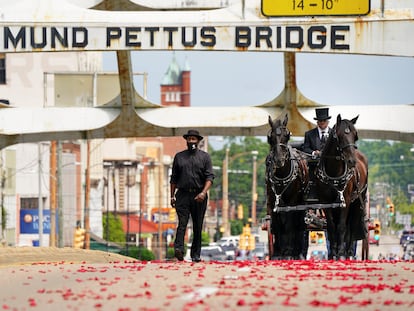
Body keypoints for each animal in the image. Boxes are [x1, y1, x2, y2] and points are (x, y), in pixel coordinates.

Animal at [266, 116, 308, 260]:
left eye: (287, 135)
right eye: (270, 137)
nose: (279, 160)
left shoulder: (292, 201)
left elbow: (289, 224)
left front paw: (288, 252)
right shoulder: (272, 199)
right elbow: (276, 223)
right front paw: (277, 252)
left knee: (297, 223)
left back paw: (296, 251)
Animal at [316, 114, 368, 260]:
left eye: (355, 135)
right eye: (339, 135)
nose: (352, 161)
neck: (333, 172)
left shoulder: (346, 200)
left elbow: (341, 227)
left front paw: (340, 253)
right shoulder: (326, 202)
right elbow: (331, 226)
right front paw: (333, 253)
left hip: (357, 200)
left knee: (351, 224)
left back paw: (348, 252)